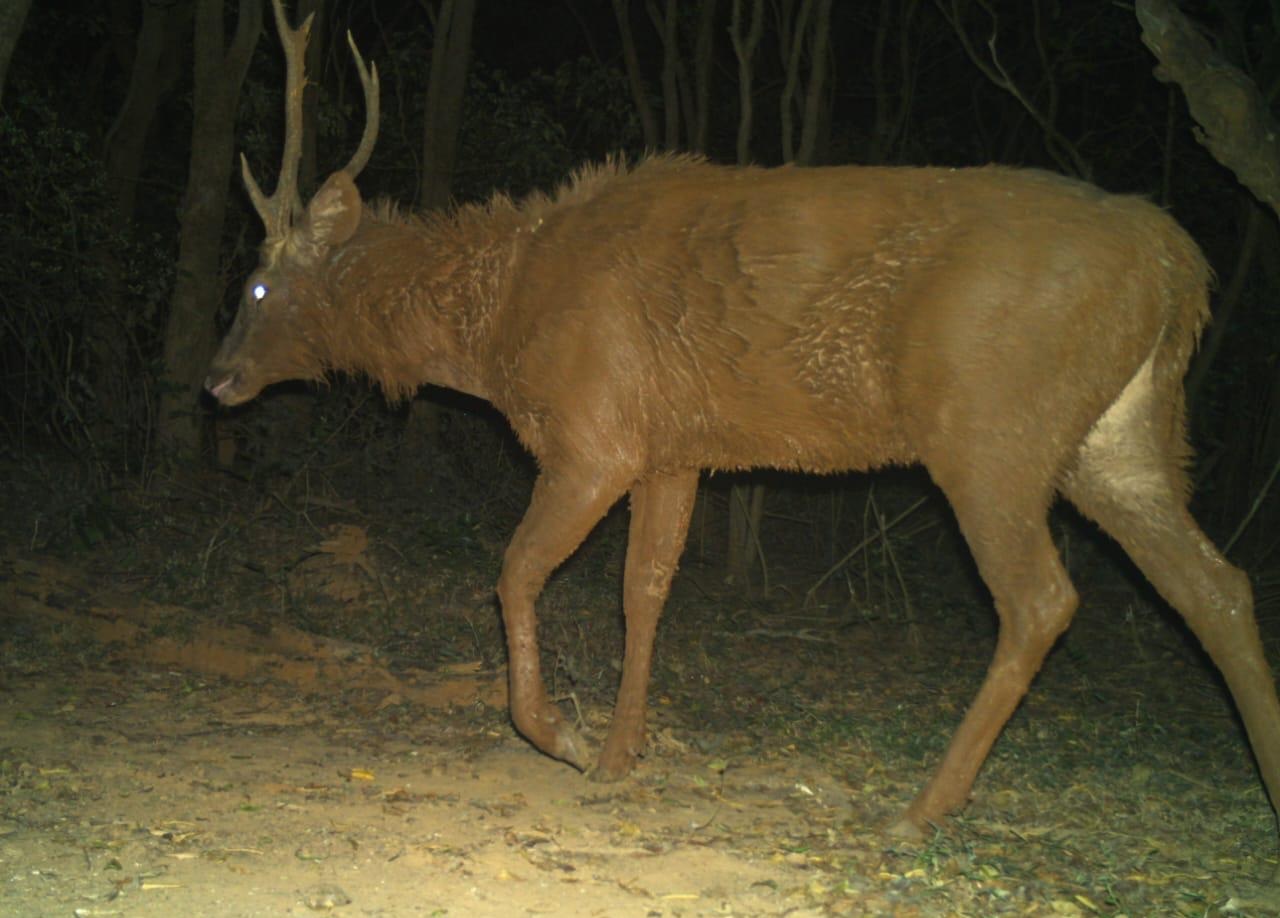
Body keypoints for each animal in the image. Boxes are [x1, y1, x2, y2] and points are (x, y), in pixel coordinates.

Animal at [207, 0, 1280, 845]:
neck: (501, 322)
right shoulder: (672, 449)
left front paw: (561, 734)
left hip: (992, 427)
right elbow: (644, 592)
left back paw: (922, 807)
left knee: (1044, 598)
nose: (216, 380)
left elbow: (513, 573)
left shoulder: (594, 433)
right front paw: (623, 751)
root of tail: (1180, 266)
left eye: (256, 282)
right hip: (1120, 438)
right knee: (1218, 587)